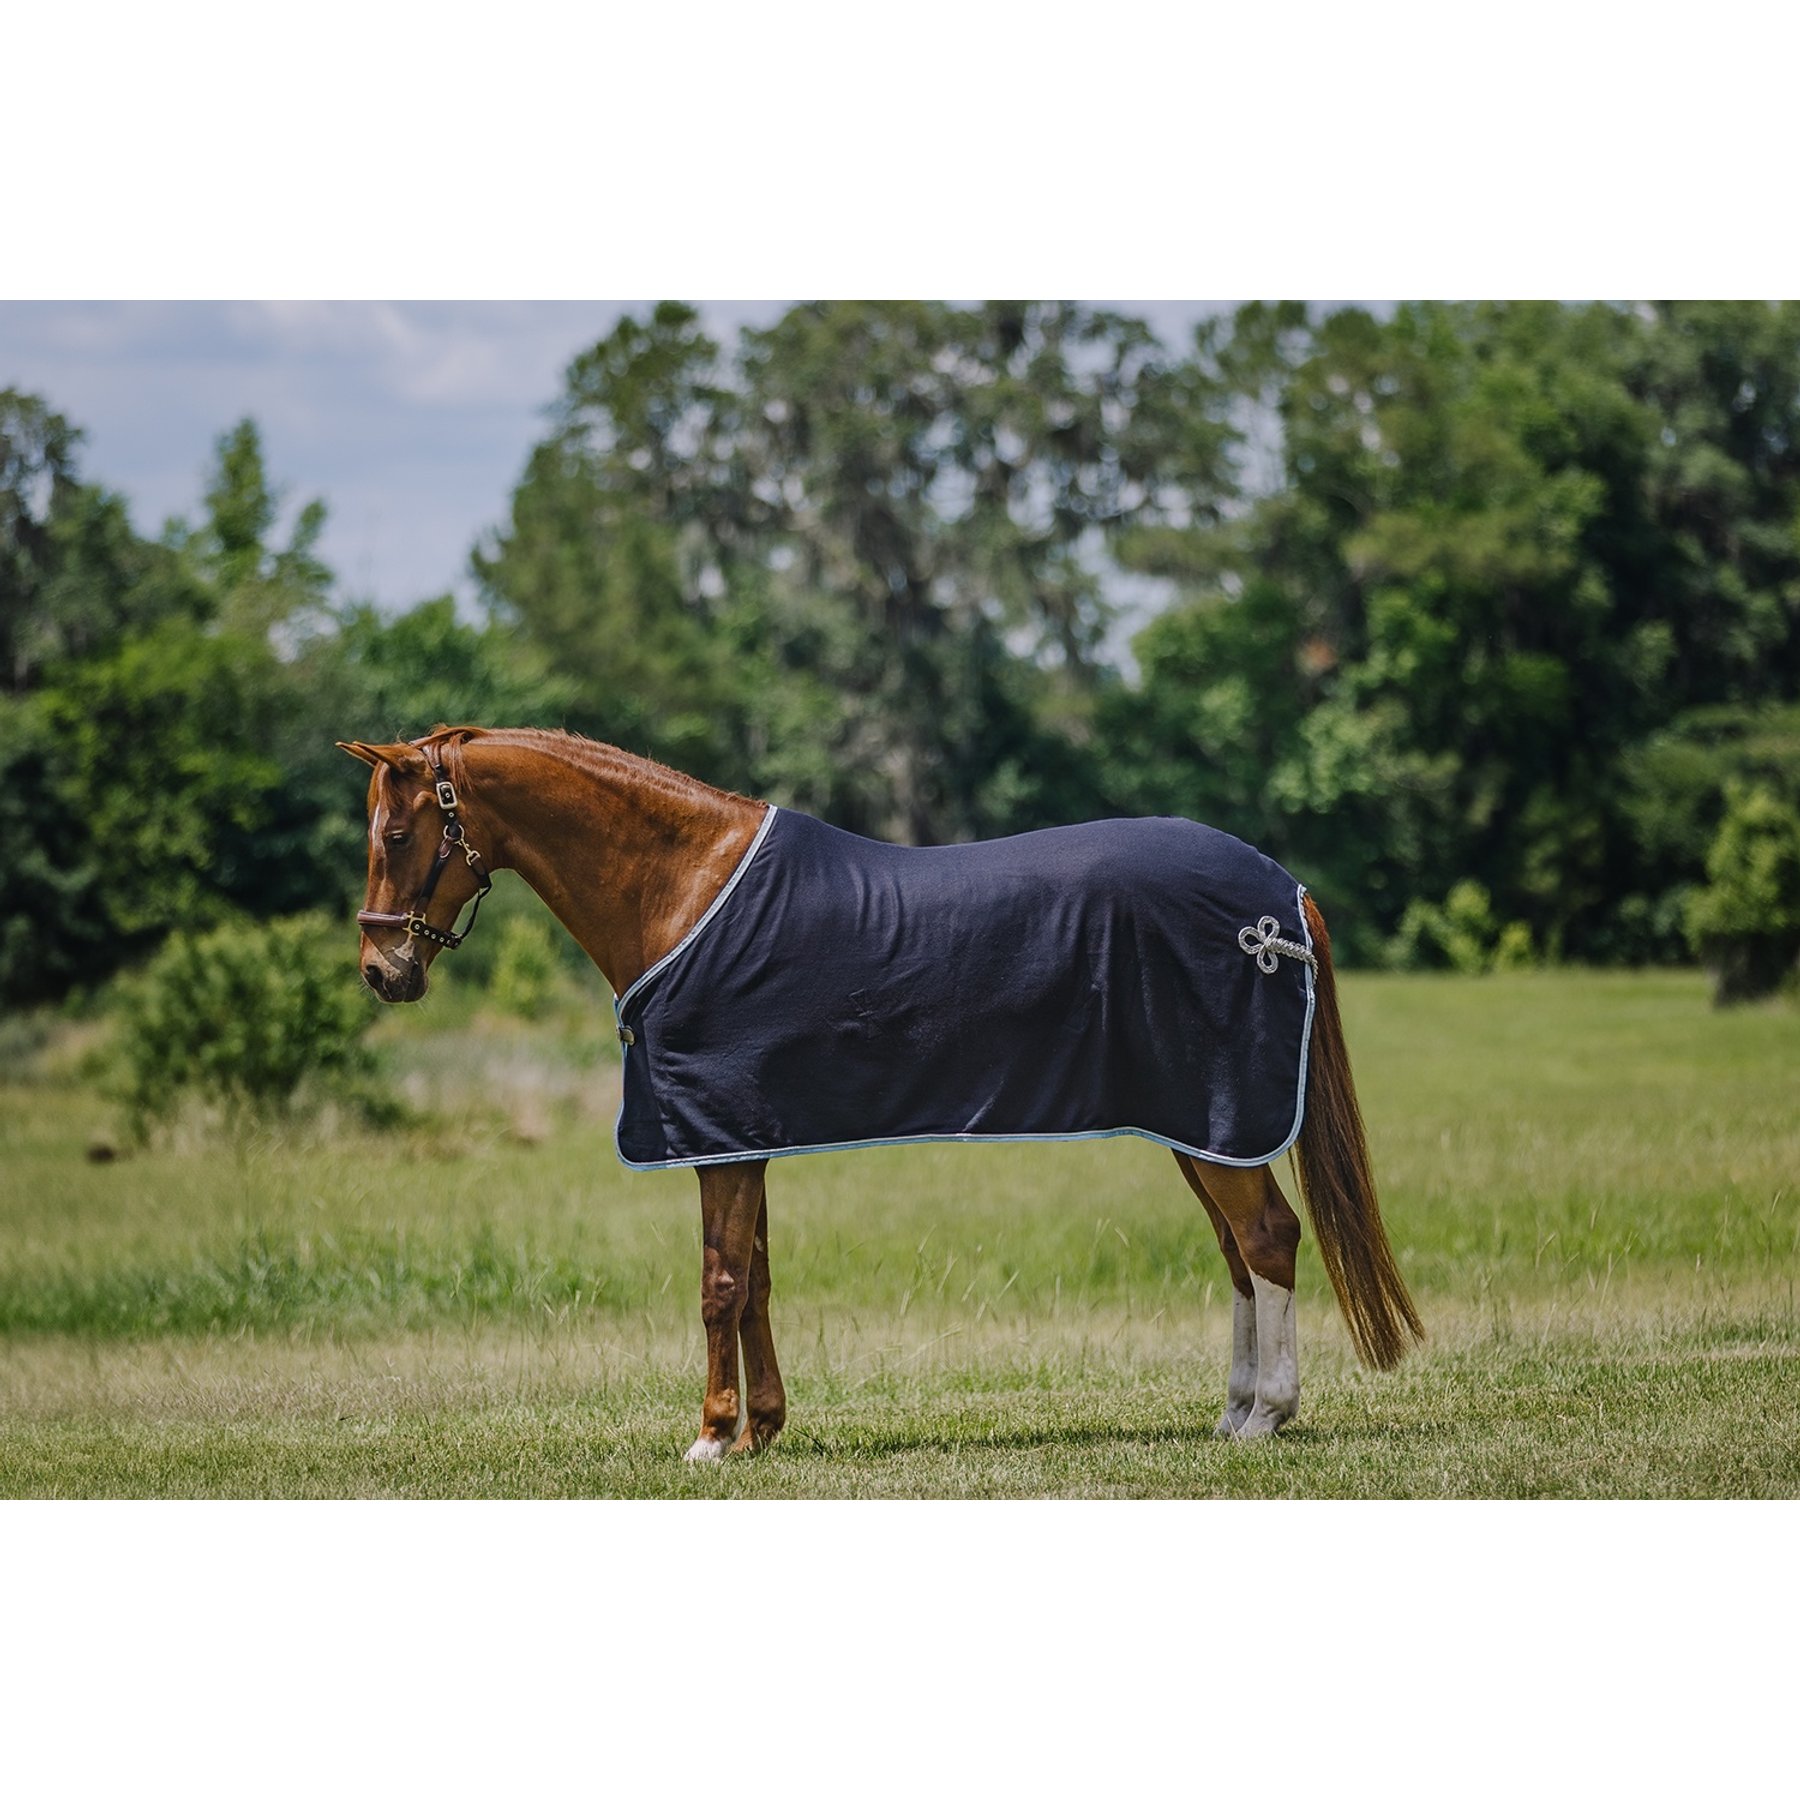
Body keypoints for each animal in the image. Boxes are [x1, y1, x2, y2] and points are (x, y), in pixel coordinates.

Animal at [340, 725, 1421, 1461]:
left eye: (395, 832)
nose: (381, 972)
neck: (685, 885)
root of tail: (1282, 899)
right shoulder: (742, 1133)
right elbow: (756, 1279)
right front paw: (763, 1431)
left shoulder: (714, 1133)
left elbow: (718, 1282)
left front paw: (711, 1438)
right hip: (1200, 1126)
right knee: (1243, 1252)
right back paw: (1235, 1411)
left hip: (1217, 1119)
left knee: (1268, 1240)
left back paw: (1266, 1415)